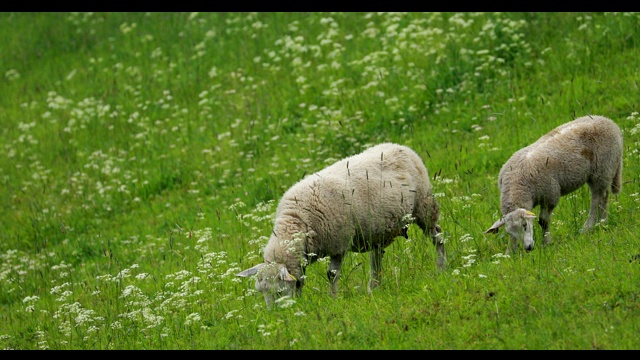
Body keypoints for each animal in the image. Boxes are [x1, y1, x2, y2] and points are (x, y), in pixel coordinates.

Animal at [236, 142, 444, 308]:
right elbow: (301, 279)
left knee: (438, 237)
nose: (275, 315)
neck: (298, 221)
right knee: (376, 258)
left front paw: (333, 298)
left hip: (424, 206)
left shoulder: (338, 243)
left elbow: (332, 274)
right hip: (378, 229)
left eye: (278, 291)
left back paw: (442, 267)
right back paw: (374, 288)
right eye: (261, 292)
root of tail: (401, 146)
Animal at [482, 114, 624, 252]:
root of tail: (610, 123)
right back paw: (601, 223)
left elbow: (543, 221)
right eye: (509, 232)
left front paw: (546, 243)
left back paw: (591, 226)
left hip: (603, 169)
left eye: (524, 225)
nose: (528, 248)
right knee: (603, 197)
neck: (519, 186)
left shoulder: (550, 195)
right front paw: (510, 252)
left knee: (598, 199)